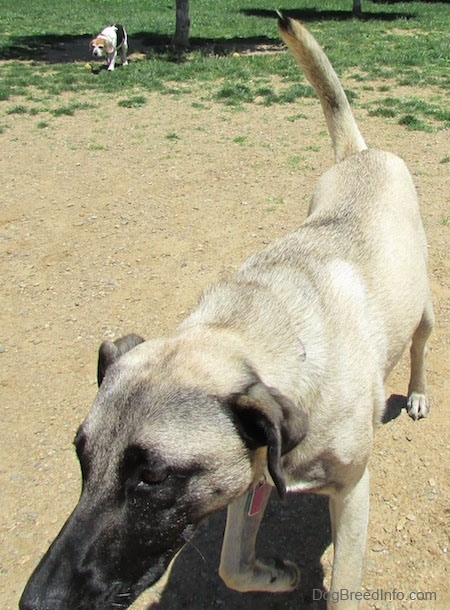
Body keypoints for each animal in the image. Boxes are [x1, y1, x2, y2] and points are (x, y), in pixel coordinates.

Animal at [20, 13, 432, 608]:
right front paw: (275, 574)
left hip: (424, 306)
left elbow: (343, 587)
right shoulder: (252, 475)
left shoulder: (353, 489)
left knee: (421, 345)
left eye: (153, 477)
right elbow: (232, 565)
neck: (262, 331)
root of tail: (359, 153)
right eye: (81, 456)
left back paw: (419, 393)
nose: (37, 600)